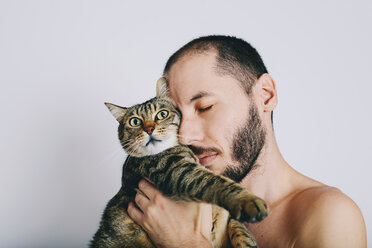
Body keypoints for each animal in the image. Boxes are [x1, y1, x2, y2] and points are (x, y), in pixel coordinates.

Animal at [91, 77, 268, 248]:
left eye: (161, 114)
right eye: (134, 122)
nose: (149, 129)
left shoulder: (229, 219)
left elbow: (241, 232)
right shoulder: (175, 169)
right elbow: (217, 182)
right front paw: (248, 200)